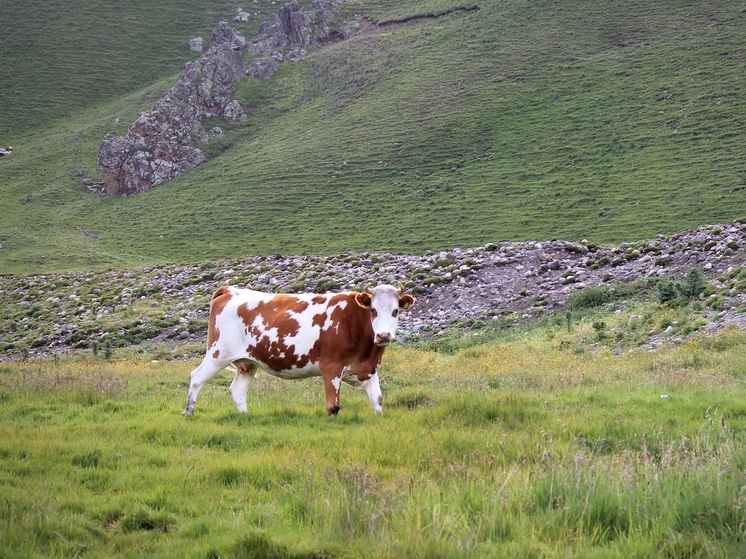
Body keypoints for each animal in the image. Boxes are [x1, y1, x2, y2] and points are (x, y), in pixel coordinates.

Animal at [180, 284, 412, 416]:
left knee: (237, 390)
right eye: (373, 310)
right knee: (197, 377)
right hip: (218, 354)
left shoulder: (369, 369)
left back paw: (245, 417)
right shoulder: (331, 367)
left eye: (396, 311)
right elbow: (333, 406)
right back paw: (189, 412)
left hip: (249, 361)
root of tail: (231, 290)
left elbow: (377, 402)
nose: (383, 335)